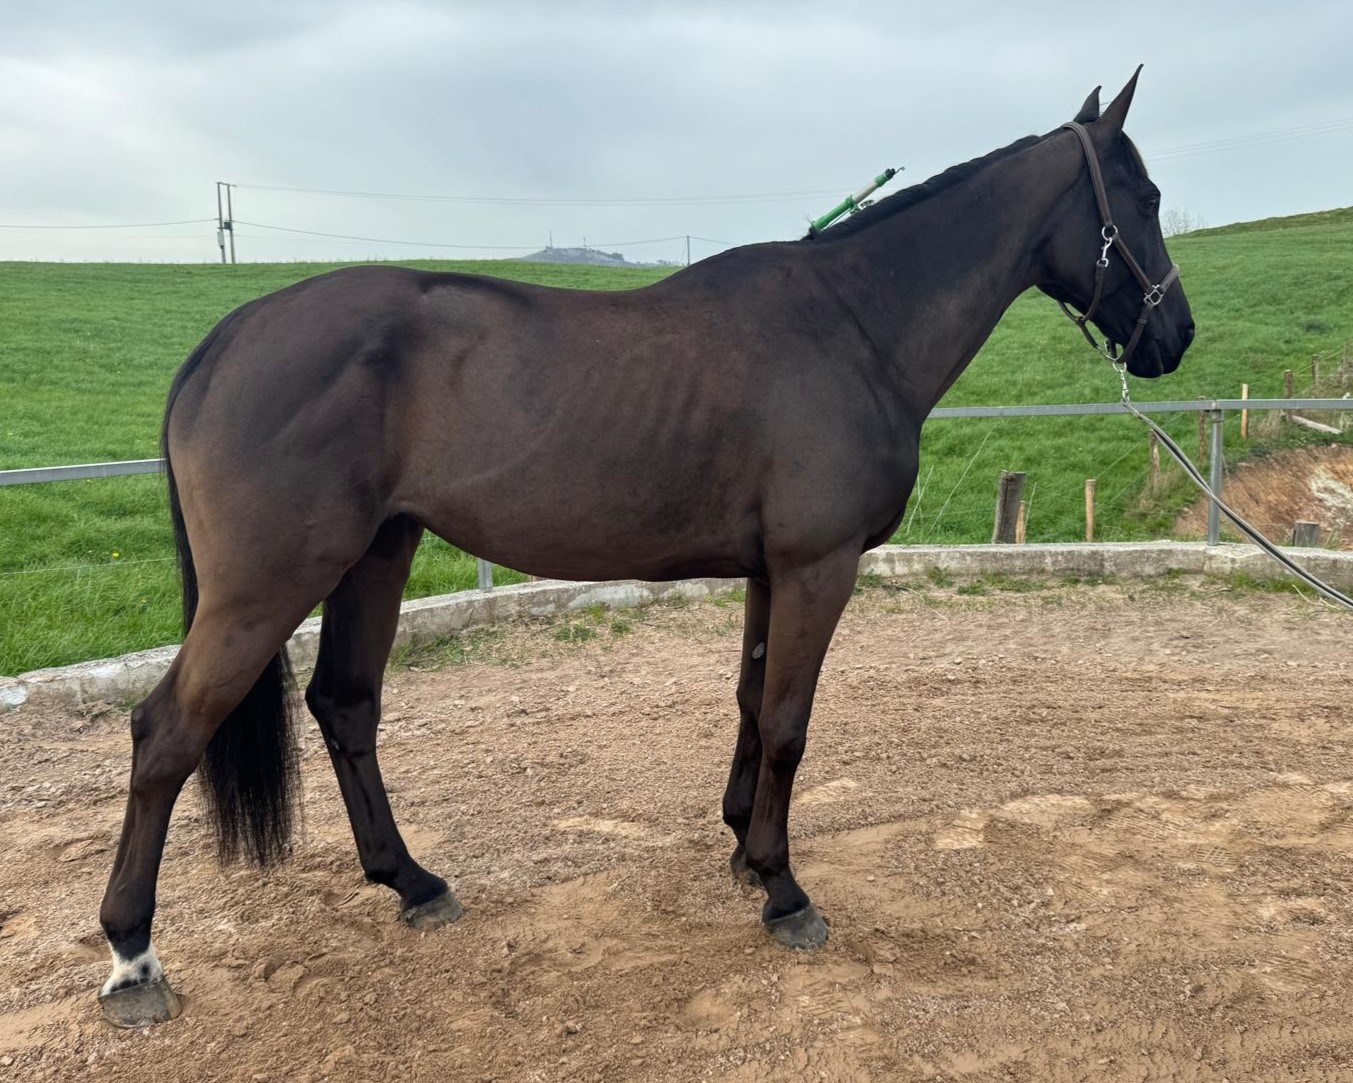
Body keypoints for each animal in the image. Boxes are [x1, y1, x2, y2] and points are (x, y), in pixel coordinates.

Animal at [97, 70, 1193, 1026]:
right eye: (1143, 197)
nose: (1173, 336)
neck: (851, 325)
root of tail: (228, 338)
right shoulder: (818, 565)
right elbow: (789, 721)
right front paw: (785, 891)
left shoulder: (770, 572)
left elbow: (752, 703)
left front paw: (745, 850)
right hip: (269, 584)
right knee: (167, 735)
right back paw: (133, 958)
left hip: (376, 555)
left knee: (345, 706)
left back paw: (412, 882)